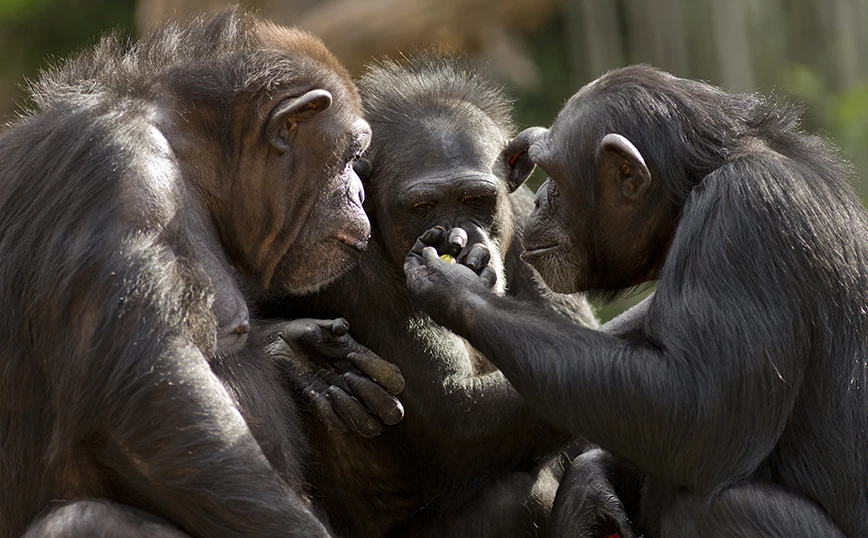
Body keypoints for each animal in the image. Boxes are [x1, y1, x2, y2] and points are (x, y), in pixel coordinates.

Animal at [0, 9, 406, 536]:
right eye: (352, 156)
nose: (358, 191)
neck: (189, 157)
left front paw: (301, 355)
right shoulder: (117, 174)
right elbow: (154, 405)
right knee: (86, 517)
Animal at [270, 55, 596, 536]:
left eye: (475, 198)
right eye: (422, 206)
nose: (458, 239)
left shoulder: (535, 222)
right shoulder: (344, 265)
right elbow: (452, 414)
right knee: (517, 495)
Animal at [404, 63, 864, 536]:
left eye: (555, 176)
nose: (541, 197)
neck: (694, 186)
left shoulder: (745, 216)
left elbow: (699, 410)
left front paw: (455, 285)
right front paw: (590, 487)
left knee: (712, 505)